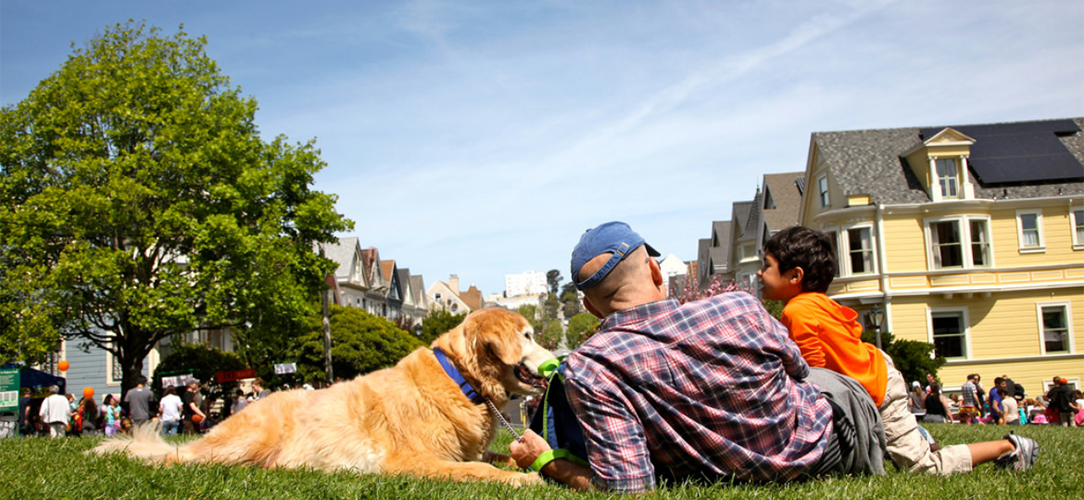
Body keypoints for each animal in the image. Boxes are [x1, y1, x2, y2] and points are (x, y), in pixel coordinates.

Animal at [88, 305, 555, 485]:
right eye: (528, 336)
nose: (558, 359)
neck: (461, 381)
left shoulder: (473, 448)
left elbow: (496, 457)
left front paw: (524, 464)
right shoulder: (412, 461)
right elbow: (480, 470)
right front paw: (523, 480)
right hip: (245, 438)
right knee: (181, 460)